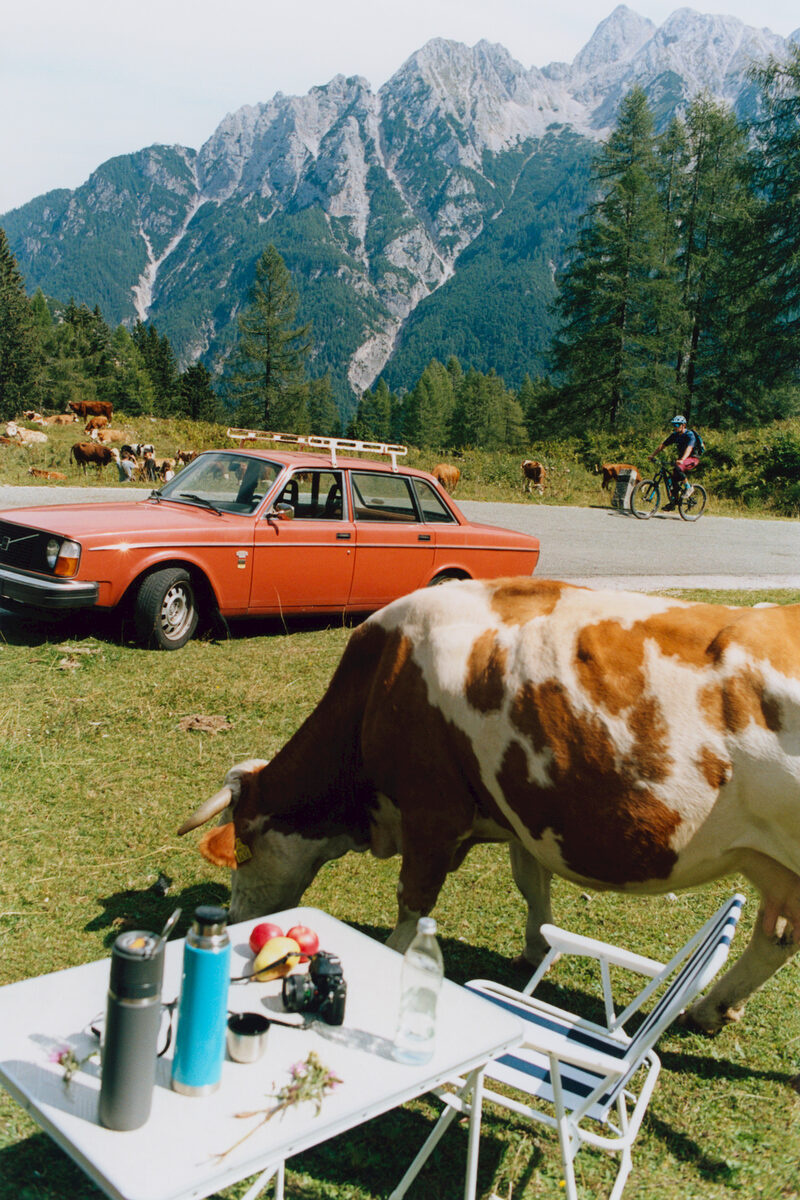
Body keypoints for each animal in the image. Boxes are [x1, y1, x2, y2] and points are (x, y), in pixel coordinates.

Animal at [178, 577, 800, 1035]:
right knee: (775, 936)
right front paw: (535, 948)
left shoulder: (431, 814)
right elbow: (532, 884)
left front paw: (395, 952)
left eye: (243, 851)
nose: (235, 917)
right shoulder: (520, 816)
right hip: (773, 863)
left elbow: (414, 900)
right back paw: (711, 1009)